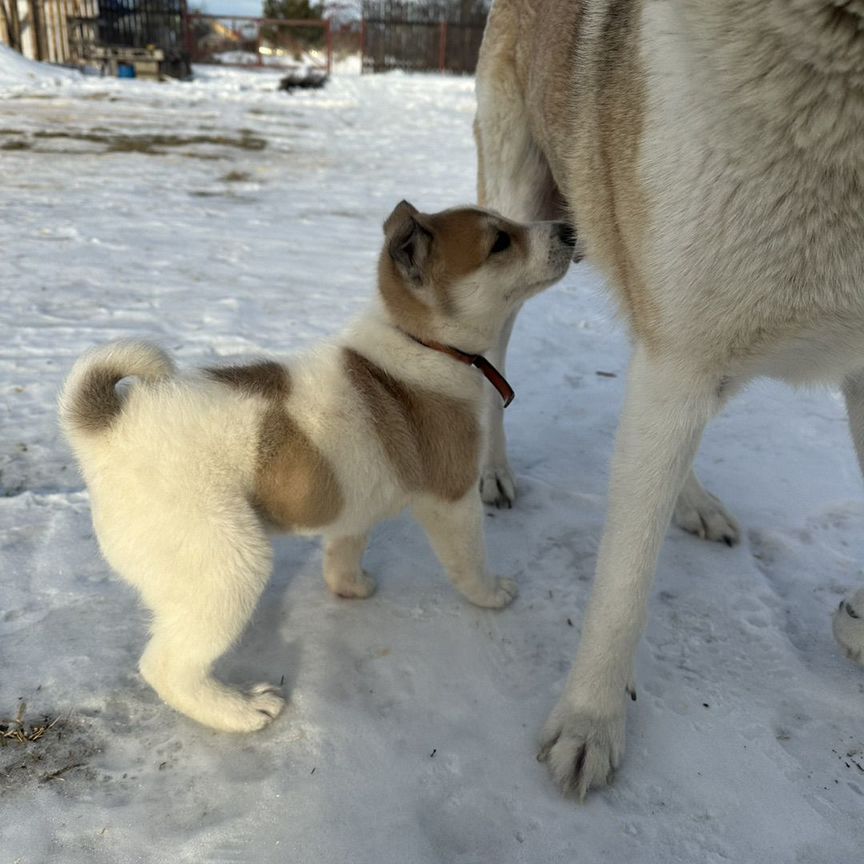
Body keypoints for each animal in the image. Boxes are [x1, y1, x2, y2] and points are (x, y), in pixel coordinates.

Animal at [59, 201, 572, 728]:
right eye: (500, 243)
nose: (569, 230)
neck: (418, 341)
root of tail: (106, 427)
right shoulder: (452, 500)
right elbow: (468, 561)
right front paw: (491, 595)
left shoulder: (356, 508)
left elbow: (343, 552)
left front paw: (351, 587)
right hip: (230, 565)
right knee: (167, 667)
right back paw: (242, 711)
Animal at [472, 0, 864, 796]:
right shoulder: (679, 355)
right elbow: (624, 583)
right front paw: (590, 724)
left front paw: (860, 620)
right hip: (524, 215)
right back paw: (493, 470)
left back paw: (695, 502)